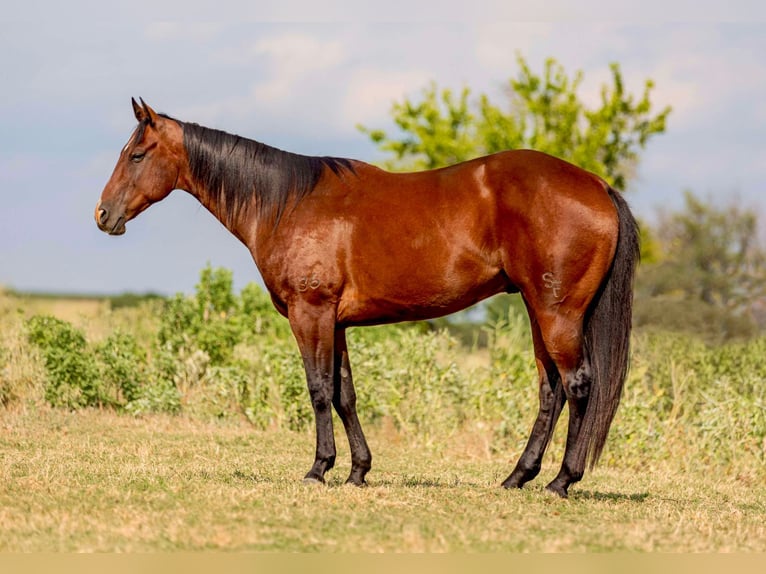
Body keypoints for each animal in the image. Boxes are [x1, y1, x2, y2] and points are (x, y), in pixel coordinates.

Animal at [96, 99, 640, 500]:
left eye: (137, 155)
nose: (103, 215)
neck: (289, 203)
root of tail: (597, 185)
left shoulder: (310, 313)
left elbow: (318, 390)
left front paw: (319, 469)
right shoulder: (335, 323)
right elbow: (345, 394)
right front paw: (358, 470)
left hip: (556, 312)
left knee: (578, 385)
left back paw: (561, 481)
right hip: (537, 310)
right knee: (551, 390)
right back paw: (516, 477)